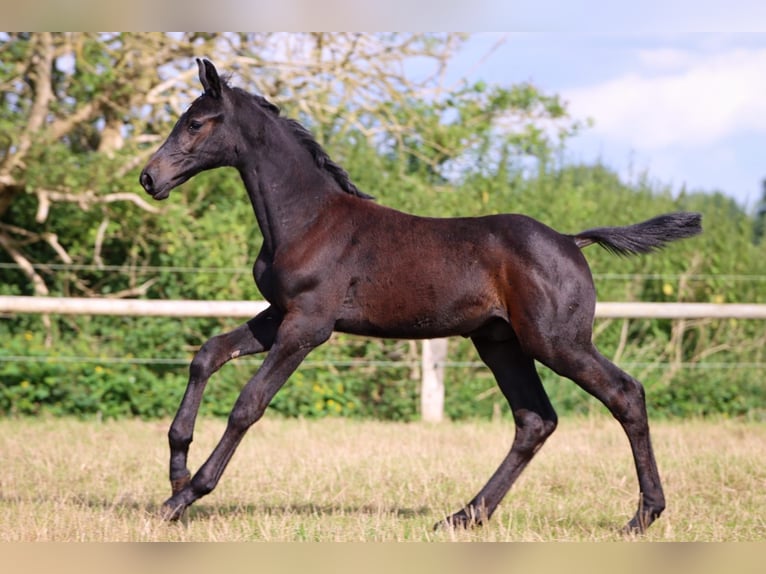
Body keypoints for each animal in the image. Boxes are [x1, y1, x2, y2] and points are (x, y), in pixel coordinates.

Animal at [138, 59, 704, 536]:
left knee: (625, 394)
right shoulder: (280, 315)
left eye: (196, 123)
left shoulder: (308, 326)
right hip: (500, 342)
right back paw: (464, 516)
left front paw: (183, 498)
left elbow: (247, 404)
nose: (149, 177)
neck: (308, 220)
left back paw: (642, 517)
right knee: (535, 420)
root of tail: (571, 240)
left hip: (557, 341)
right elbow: (207, 354)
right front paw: (176, 469)